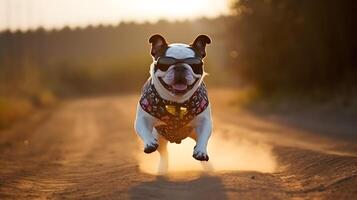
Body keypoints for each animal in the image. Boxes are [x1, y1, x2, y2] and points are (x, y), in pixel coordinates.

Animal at [134, 34, 211, 172]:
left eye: (194, 64)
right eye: (165, 63)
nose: (180, 67)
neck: (177, 102)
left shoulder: (204, 121)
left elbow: (204, 136)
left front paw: (201, 151)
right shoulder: (142, 118)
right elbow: (143, 129)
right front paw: (149, 143)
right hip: (160, 139)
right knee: (164, 154)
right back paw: (163, 168)